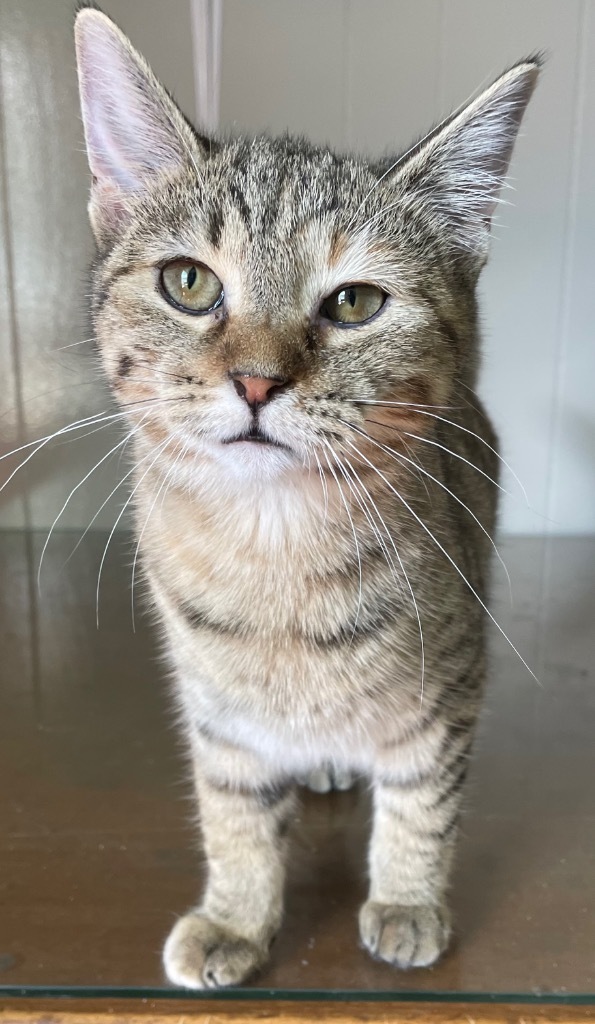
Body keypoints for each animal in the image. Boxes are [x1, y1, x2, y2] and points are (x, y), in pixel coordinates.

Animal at [71, 4, 536, 987]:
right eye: (188, 282)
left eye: (355, 302)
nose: (256, 380)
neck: (273, 548)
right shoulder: (218, 714)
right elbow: (233, 815)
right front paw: (236, 917)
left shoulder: (451, 682)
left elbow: (421, 798)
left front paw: (406, 900)